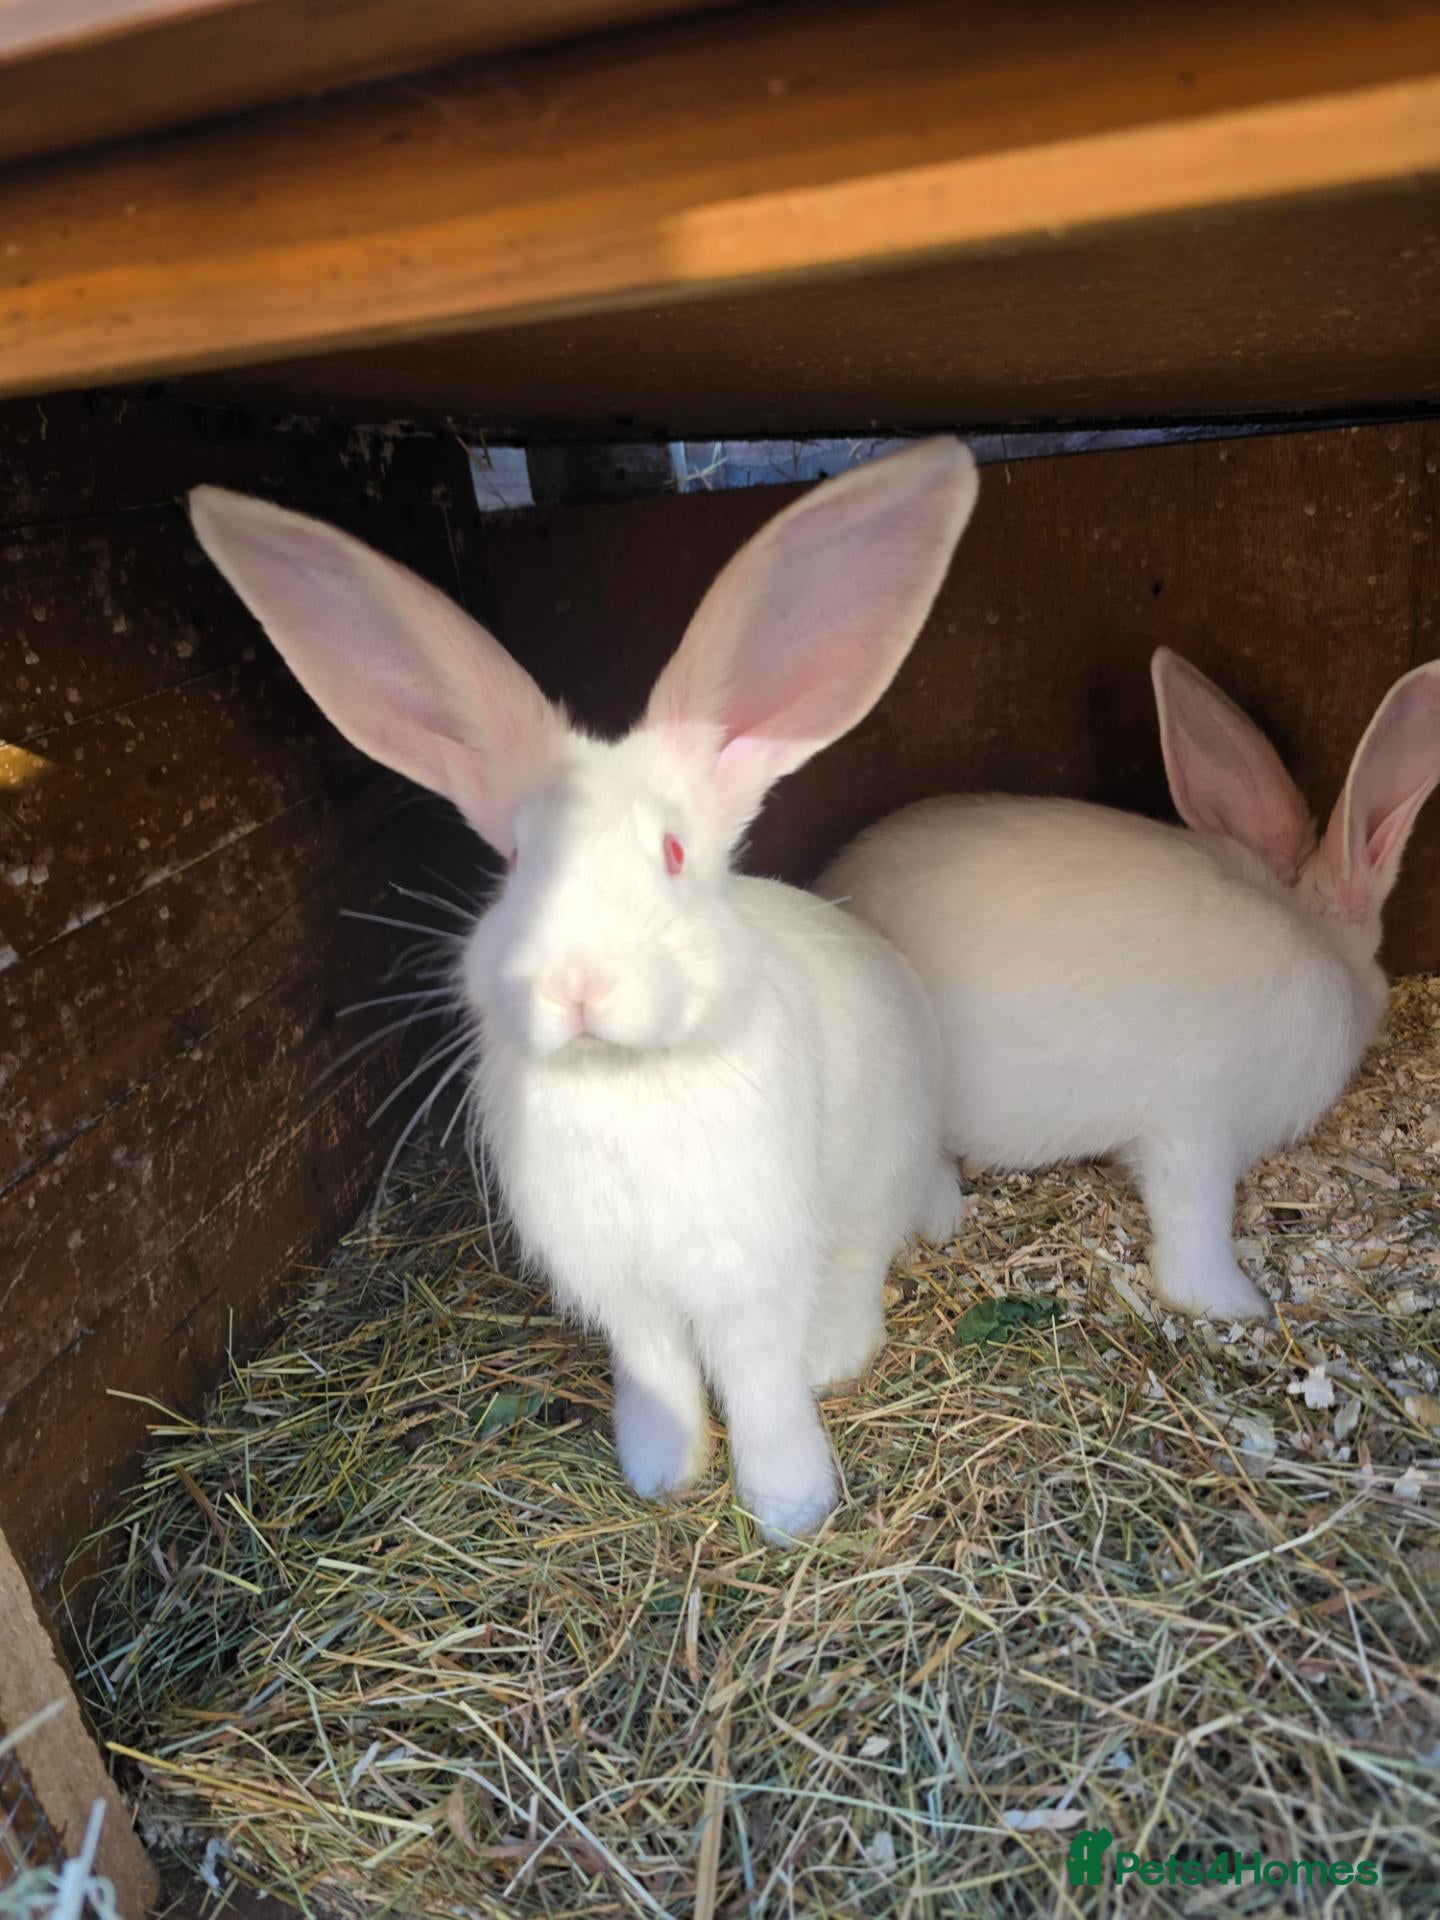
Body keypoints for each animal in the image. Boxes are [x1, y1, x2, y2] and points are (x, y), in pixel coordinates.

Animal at [188, 438, 980, 1539]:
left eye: (675, 853)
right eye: (518, 862)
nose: (574, 984)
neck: (622, 1083)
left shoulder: (747, 1266)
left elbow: (760, 1381)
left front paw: (791, 1506)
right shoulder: (620, 1286)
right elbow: (658, 1369)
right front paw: (661, 1470)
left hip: (881, 1168)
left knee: (865, 1256)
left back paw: (836, 1352)